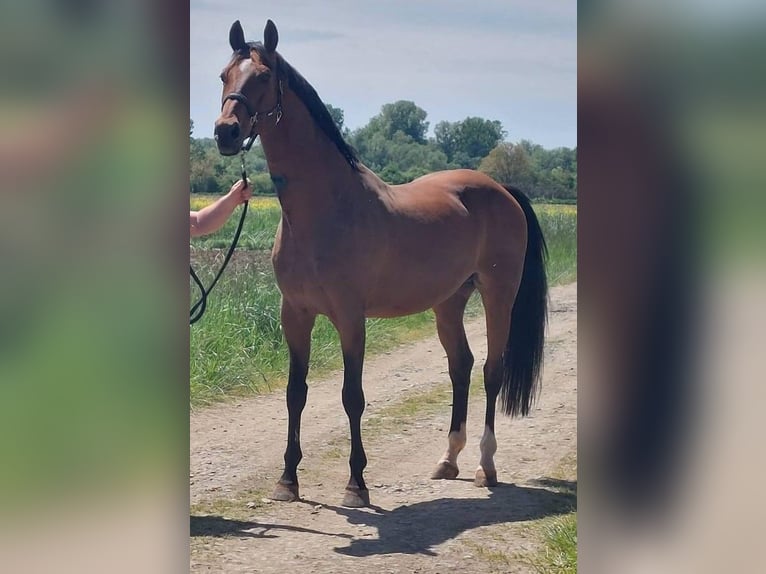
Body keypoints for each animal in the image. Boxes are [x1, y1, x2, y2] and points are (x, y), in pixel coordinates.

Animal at [213, 19, 548, 508]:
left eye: (263, 77)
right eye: (223, 76)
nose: (225, 132)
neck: (326, 208)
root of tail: (500, 189)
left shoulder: (351, 318)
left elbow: (352, 396)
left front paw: (356, 484)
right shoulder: (294, 314)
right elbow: (296, 394)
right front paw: (288, 480)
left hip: (498, 296)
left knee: (492, 370)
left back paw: (485, 466)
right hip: (449, 302)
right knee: (461, 366)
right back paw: (449, 460)